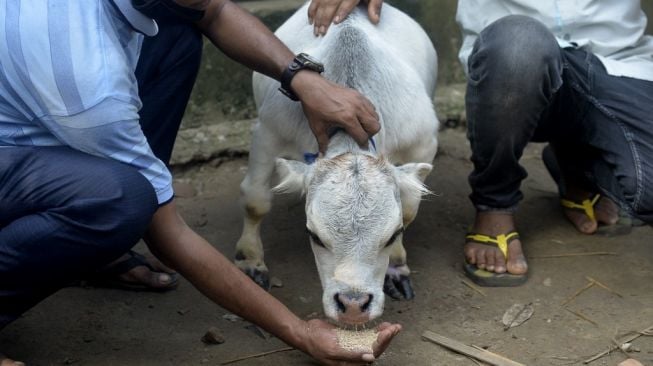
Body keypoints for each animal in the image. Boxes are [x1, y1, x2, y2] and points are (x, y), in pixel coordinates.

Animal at [234, 0, 438, 326]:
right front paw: (250, 260)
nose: (353, 305)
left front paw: (396, 265)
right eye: (314, 235)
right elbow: (256, 200)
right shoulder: (268, 133)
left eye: (391, 235)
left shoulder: (423, 144)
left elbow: (407, 210)